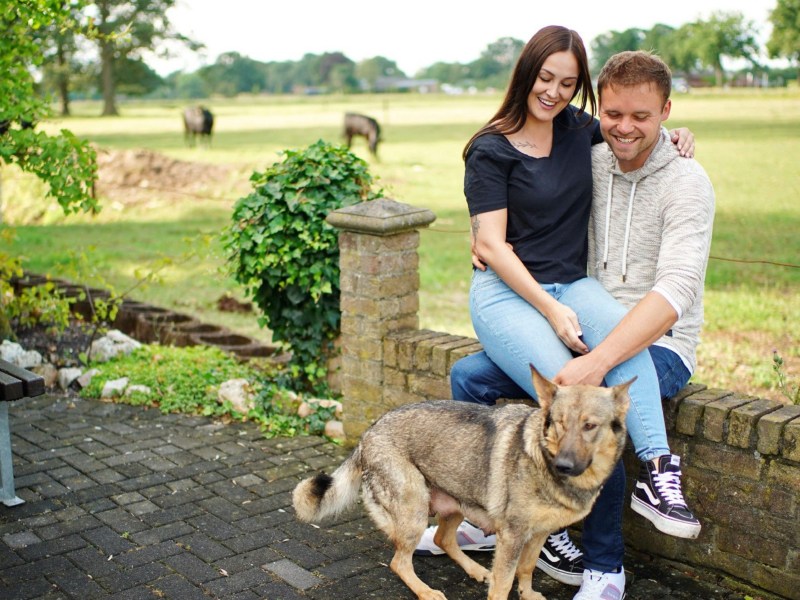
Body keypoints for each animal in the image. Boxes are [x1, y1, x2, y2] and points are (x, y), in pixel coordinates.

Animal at [290, 366, 636, 600]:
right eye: (559, 424)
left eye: (590, 426)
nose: (563, 465)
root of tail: (368, 433)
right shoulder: (513, 537)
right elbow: (503, 583)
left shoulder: (537, 534)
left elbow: (525, 570)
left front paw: (527, 593)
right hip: (415, 511)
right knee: (399, 562)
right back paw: (426, 591)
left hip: (456, 502)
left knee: (442, 539)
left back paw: (475, 569)